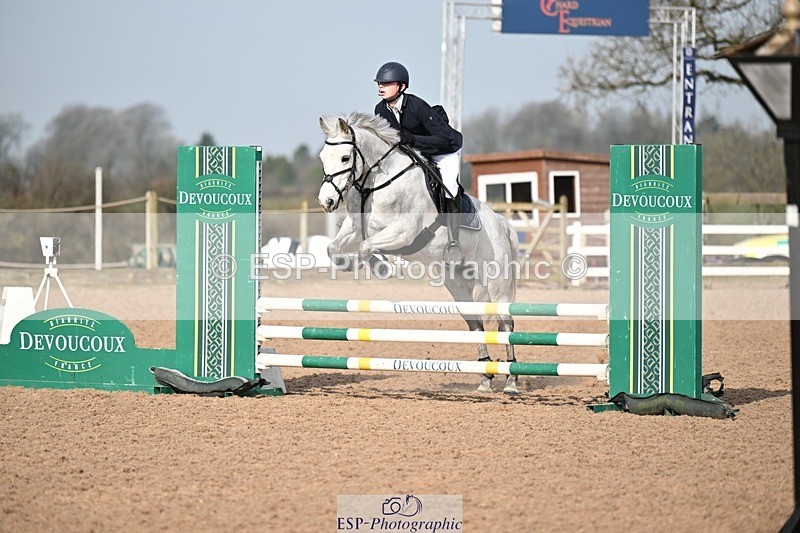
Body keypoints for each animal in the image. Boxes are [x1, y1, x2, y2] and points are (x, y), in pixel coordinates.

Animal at [317, 112, 521, 393]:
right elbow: (334, 247)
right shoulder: (356, 226)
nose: (326, 201)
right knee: (476, 323)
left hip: (496, 281)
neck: (377, 182)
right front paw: (350, 264)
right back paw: (485, 379)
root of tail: (502, 223)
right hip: (458, 284)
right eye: (322, 157)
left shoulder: (404, 230)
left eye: (345, 158)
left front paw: (382, 266)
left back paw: (511, 381)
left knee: (505, 322)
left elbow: (367, 247)